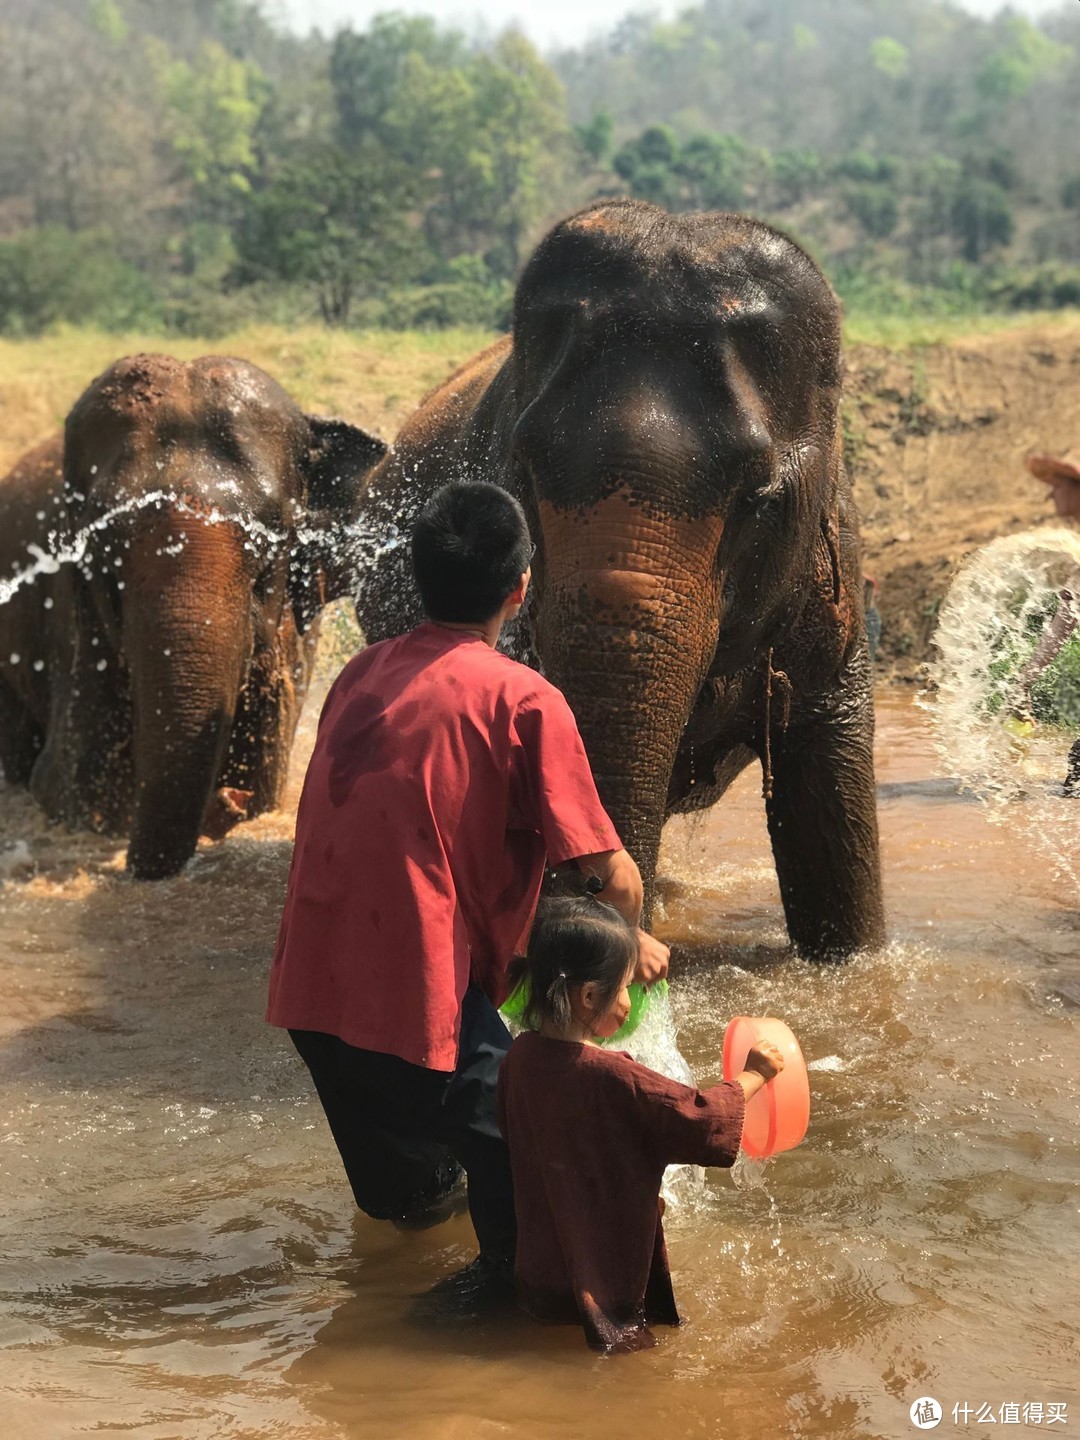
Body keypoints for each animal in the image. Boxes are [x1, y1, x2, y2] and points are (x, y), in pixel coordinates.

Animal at [0, 354, 385, 881]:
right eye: (101, 540)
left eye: (273, 534)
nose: (225, 802)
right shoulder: (72, 620)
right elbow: (71, 789)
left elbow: (267, 781)